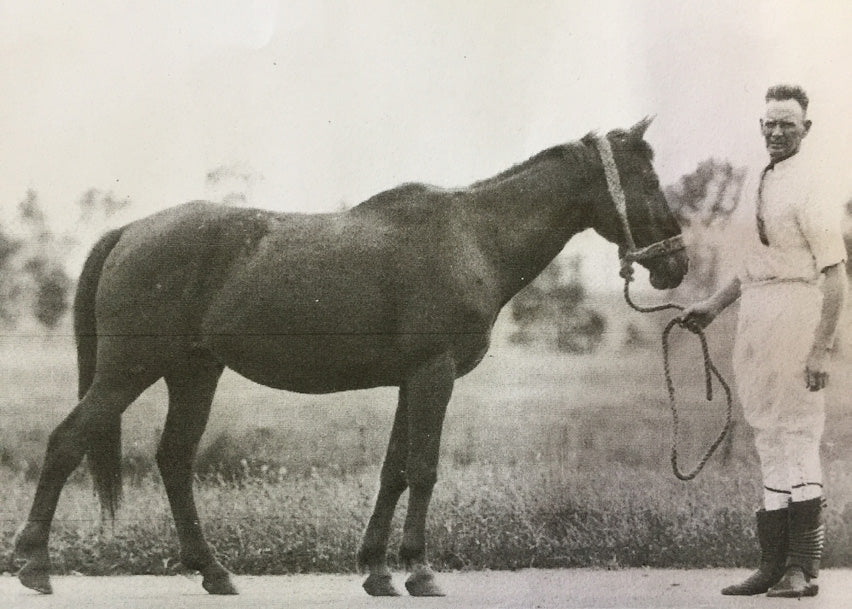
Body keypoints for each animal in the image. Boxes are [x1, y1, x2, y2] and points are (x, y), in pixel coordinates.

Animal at [13, 118, 687, 597]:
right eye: (650, 182)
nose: (677, 263)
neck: (473, 235)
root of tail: (129, 232)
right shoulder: (434, 374)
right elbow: (424, 469)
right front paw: (420, 570)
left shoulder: (411, 381)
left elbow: (394, 471)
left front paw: (378, 569)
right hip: (129, 371)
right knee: (68, 441)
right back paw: (34, 563)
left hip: (194, 372)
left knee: (174, 459)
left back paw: (214, 571)